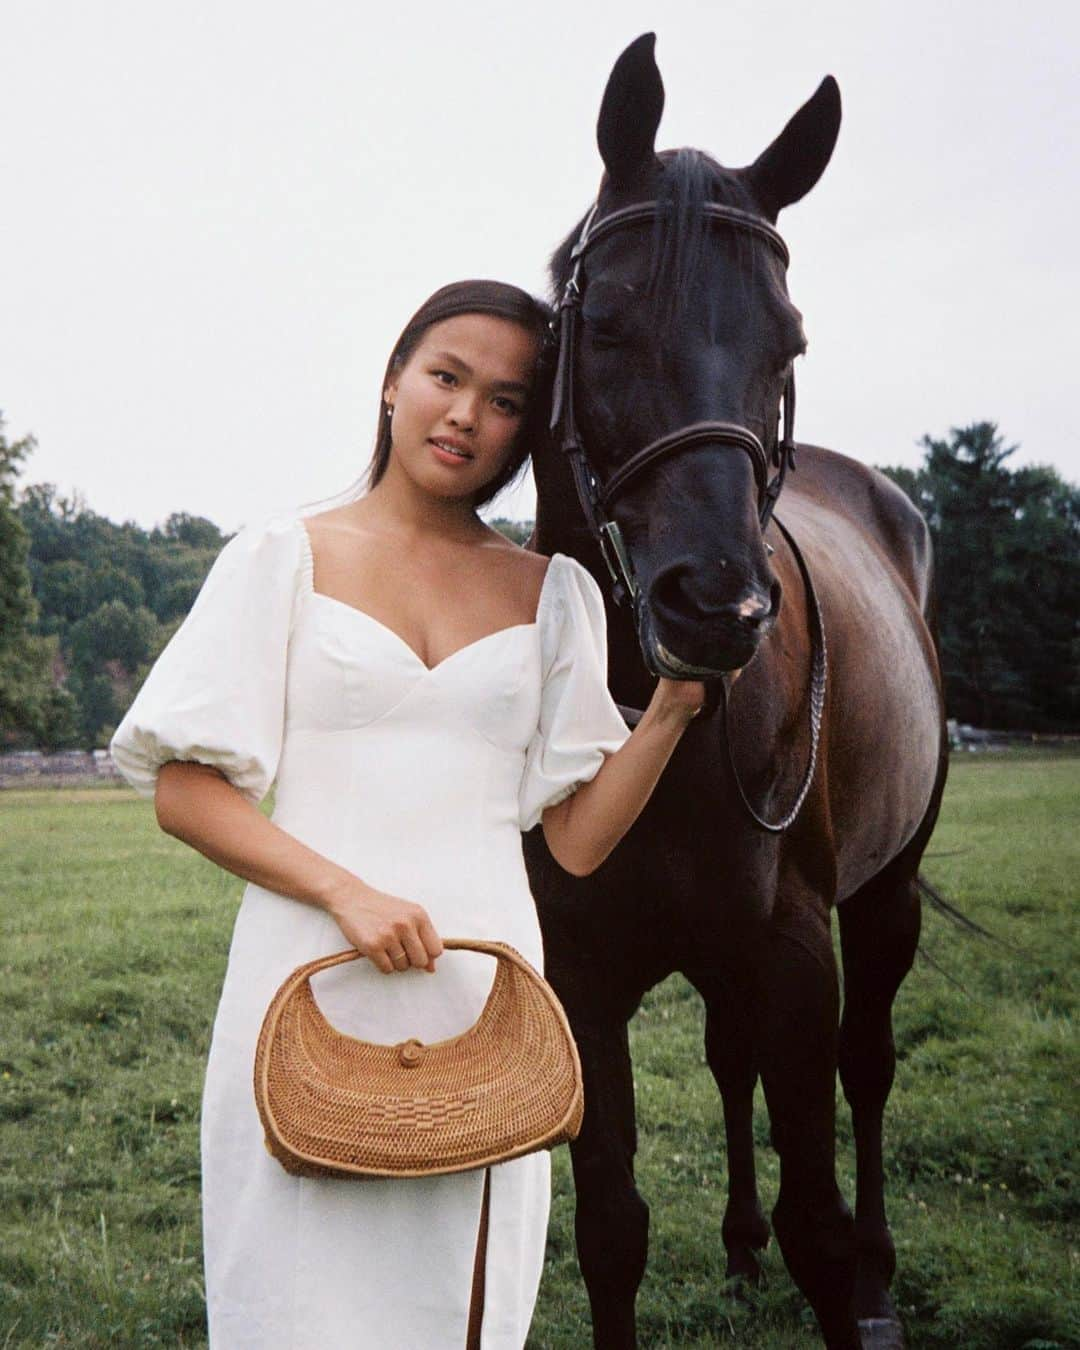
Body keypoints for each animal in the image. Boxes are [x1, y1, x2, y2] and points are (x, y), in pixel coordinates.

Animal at [521, 31, 945, 1350]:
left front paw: (839, 1270)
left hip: (887, 895)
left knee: (870, 1067)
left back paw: (879, 1269)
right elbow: (612, 1230)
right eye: (603, 324)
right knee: (725, 1057)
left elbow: (821, 1210)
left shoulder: (797, 957)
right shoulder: (583, 976)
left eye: (788, 343)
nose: (716, 605)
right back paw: (742, 1247)